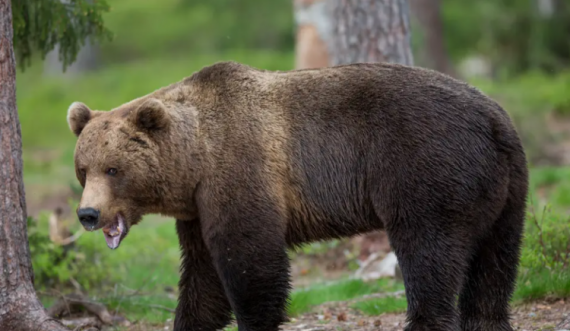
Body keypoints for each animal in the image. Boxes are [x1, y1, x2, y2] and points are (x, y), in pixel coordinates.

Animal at [66, 61, 528, 330]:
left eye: (114, 169)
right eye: (83, 169)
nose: (88, 213)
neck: (194, 160)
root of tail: (494, 118)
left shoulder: (241, 170)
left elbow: (251, 263)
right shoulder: (197, 209)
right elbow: (202, 277)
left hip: (425, 168)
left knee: (428, 252)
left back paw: (425, 319)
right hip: (506, 190)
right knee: (495, 265)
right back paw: (487, 319)